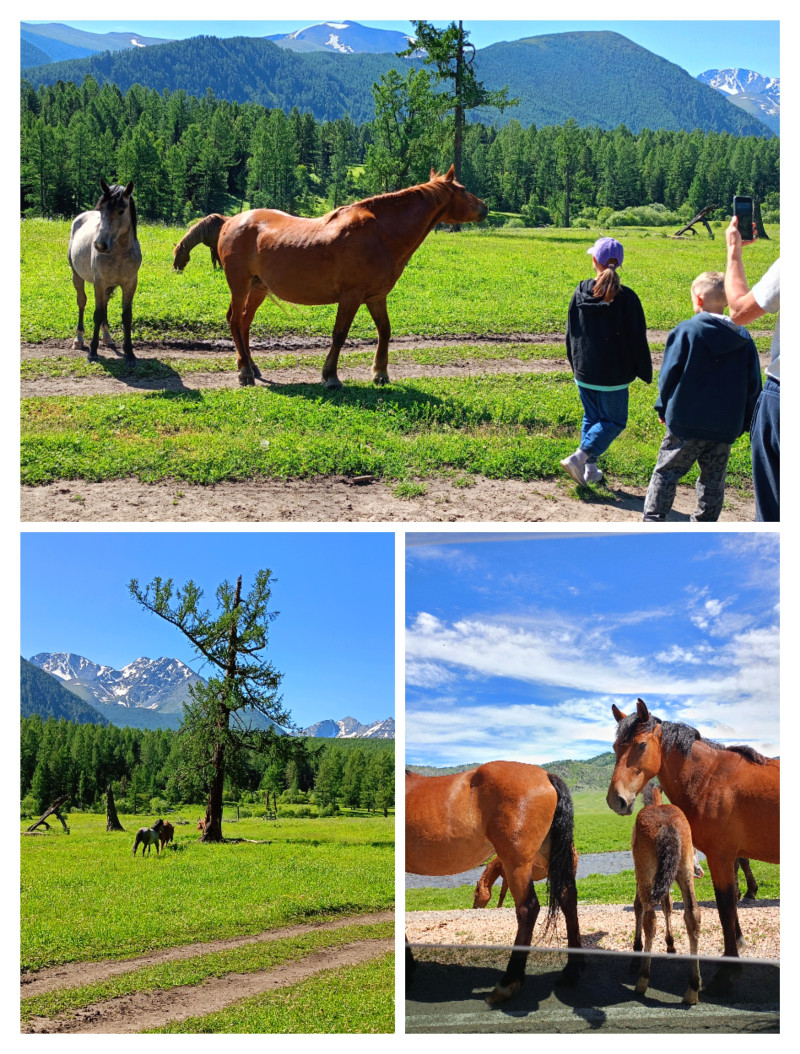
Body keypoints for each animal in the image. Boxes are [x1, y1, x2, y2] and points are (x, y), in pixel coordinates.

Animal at [216, 167, 489, 387]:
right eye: (463, 190)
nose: (485, 207)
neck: (381, 233)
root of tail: (231, 221)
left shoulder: (376, 297)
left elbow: (384, 331)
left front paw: (380, 373)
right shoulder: (351, 297)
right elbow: (340, 334)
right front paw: (330, 376)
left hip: (258, 288)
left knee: (244, 322)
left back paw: (251, 366)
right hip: (240, 285)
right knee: (235, 321)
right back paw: (245, 372)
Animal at [406, 763, 581, 999]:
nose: (474, 908)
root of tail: (546, 775)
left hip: (516, 863)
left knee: (528, 909)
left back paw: (509, 981)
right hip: (551, 858)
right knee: (567, 898)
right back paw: (571, 972)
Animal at [611, 699, 779, 965]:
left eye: (641, 745)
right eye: (615, 747)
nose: (615, 799)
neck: (711, 778)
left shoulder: (720, 856)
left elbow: (726, 907)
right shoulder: (727, 856)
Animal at [632, 784, 699, 1003]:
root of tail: (668, 826)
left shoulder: (641, 875)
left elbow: (639, 906)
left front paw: (637, 946)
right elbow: (668, 904)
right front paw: (671, 944)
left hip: (646, 875)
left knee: (650, 917)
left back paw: (643, 979)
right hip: (685, 871)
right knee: (693, 916)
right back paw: (693, 988)